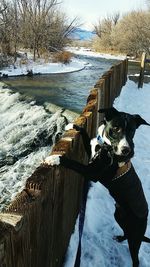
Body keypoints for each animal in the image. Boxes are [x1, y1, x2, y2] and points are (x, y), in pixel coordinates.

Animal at [44, 108, 150, 266]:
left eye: (132, 130)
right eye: (116, 128)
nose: (125, 150)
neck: (106, 147)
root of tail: (146, 215)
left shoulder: (91, 172)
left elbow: (72, 163)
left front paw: (55, 158)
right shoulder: (91, 152)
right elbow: (85, 134)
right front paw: (72, 126)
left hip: (135, 234)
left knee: (135, 257)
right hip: (120, 215)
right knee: (126, 232)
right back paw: (120, 238)